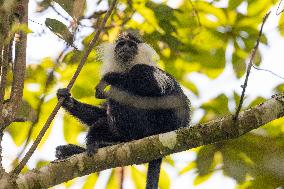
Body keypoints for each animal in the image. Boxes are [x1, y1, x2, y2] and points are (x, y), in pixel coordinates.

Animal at [56, 31, 191, 188]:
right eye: (121, 44)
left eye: (131, 45)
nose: (125, 48)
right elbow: (102, 113)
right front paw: (67, 101)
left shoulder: (146, 69)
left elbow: (153, 86)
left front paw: (108, 78)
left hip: (151, 125)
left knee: (122, 93)